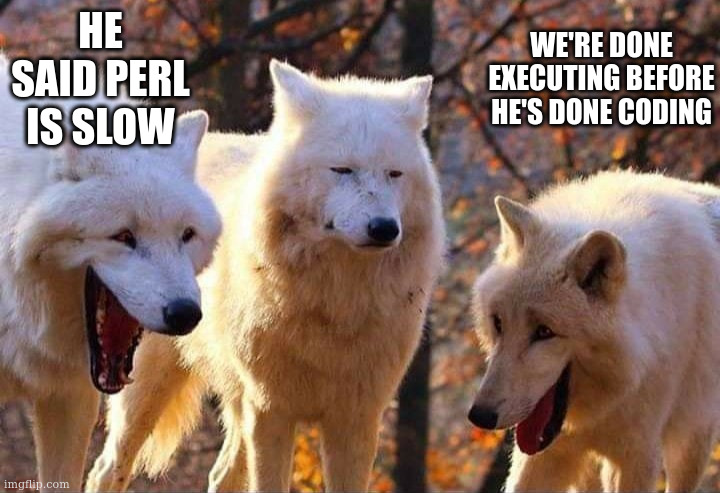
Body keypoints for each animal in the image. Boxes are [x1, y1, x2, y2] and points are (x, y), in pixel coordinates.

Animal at [86, 60, 445, 492]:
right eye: (342, 170)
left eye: (395, 174)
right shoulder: (271, 409)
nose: (384, 229)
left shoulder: (357, 417)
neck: (336, 302)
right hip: (148, 387)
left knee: (221, 474)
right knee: (107, 469)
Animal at [468, 170, 720, 492]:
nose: (480, 415)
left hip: (691, 442)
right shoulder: (545, 453)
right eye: (499, 323)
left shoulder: (637, 456)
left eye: (544, 332)